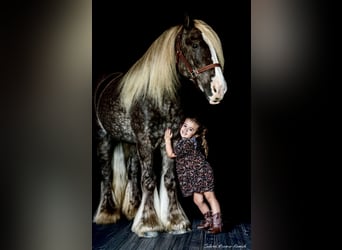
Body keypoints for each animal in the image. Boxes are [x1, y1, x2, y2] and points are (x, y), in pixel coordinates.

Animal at [93, 16, 227, 237]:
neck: (157, 96)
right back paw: (106, 214)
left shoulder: (170, 141)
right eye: (195, 43)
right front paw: (148, 225)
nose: (219, 89)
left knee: (132, 172)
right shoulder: (146, 143)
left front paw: (175, 222)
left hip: (131, 144)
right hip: (104, 138)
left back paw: (133, 209)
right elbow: (149, 180)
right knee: (106, 174)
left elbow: (168, 180)